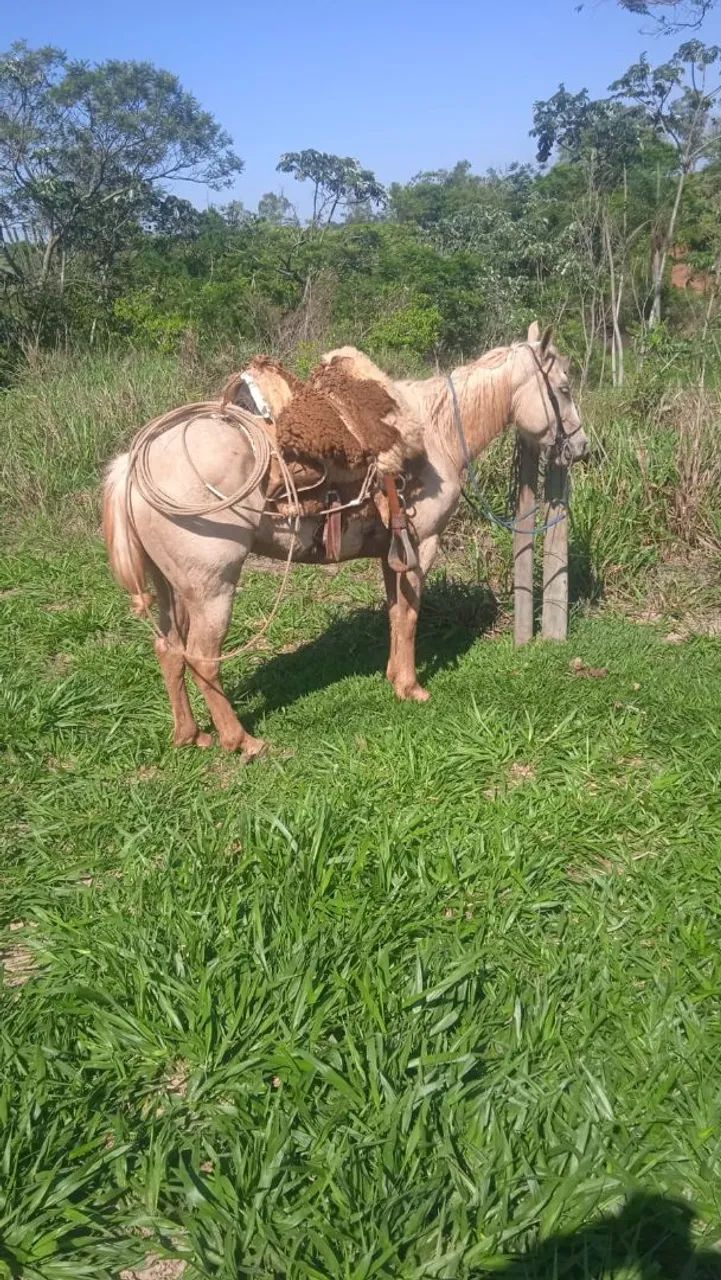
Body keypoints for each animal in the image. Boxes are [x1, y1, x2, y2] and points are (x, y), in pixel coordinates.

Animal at [103, 323, 589, 755]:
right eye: (563, 388)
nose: (581, 447)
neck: (437, 432)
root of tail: (133, 466)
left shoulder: (392, 552)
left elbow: (395, 613)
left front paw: (394, 677)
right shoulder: (422, 545)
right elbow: (410, 616)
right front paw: (412, 687)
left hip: (171, 587)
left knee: (168, 648)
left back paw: (190, 735)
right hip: (211, 587)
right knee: (203, 657)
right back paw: (242, 741)